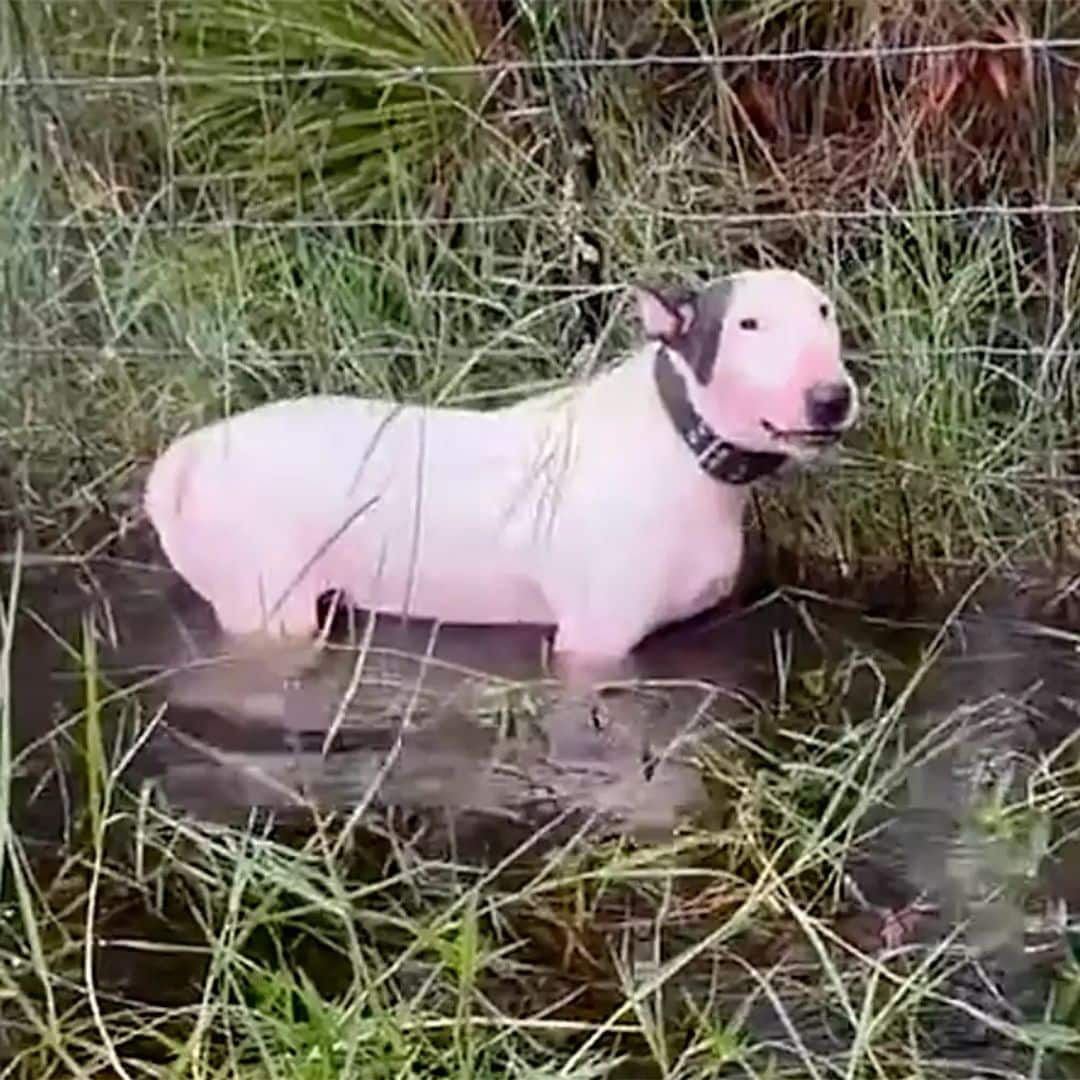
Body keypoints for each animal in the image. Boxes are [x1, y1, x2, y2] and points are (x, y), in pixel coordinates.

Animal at [143, 265, 855, 678]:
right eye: (747, 324)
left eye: (825, 312)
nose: (832, 397)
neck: (683, 446)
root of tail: (185, 456)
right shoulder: (593, 642)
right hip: (267, 600)